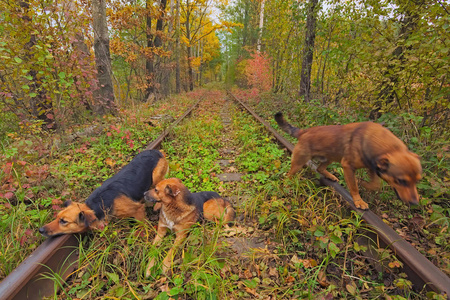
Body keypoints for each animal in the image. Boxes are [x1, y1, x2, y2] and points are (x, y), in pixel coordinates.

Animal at [38, 150, 169, 237]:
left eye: (64, 221)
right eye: (57, 217)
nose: (40, 230)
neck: (99, 204)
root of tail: (156, 151)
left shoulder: (138, 210)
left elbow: (142, 225)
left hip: (156, 177)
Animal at [274, 111, 422, 210]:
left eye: (417, 181)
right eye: (401, 181)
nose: (415, 203)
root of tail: (304, 132)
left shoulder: (372, 166)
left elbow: (375, 184)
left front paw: (365, 184)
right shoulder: (348, 166)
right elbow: (354, 187)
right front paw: (358, 200)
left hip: (331, 156)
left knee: (320, 168)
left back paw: (330, 176)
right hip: (299, 162)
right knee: (289, 175)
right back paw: (287, 185)